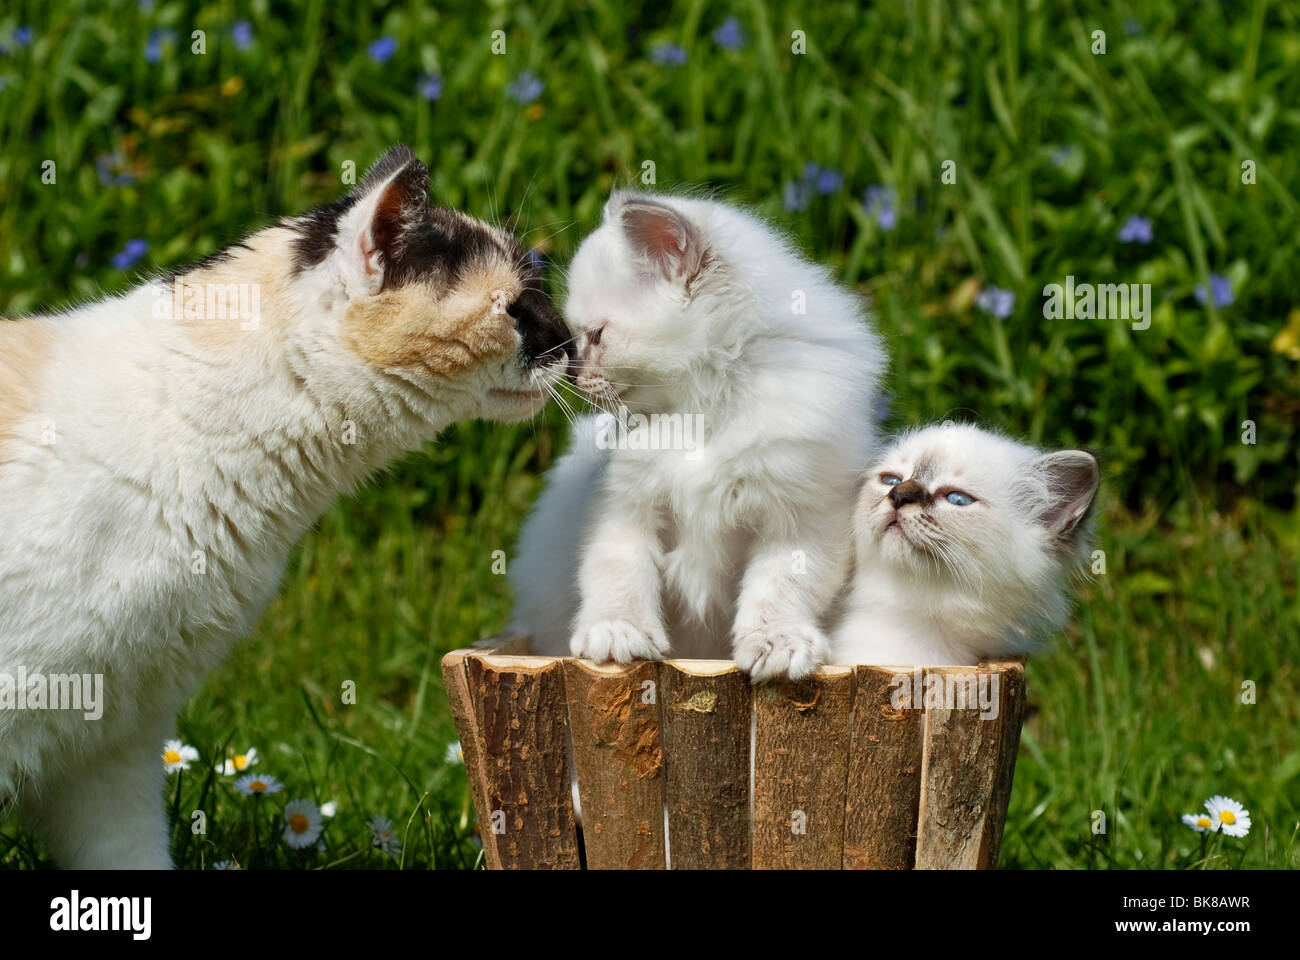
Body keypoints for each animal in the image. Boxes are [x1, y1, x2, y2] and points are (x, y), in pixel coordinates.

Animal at [506, 191, 883, 676]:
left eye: (597, 335)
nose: (573, 375)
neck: (700, 414)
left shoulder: (802, 516)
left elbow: (779, 588)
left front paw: (776, 642)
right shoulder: (625, 503)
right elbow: (616, 572)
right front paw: (617, 632)